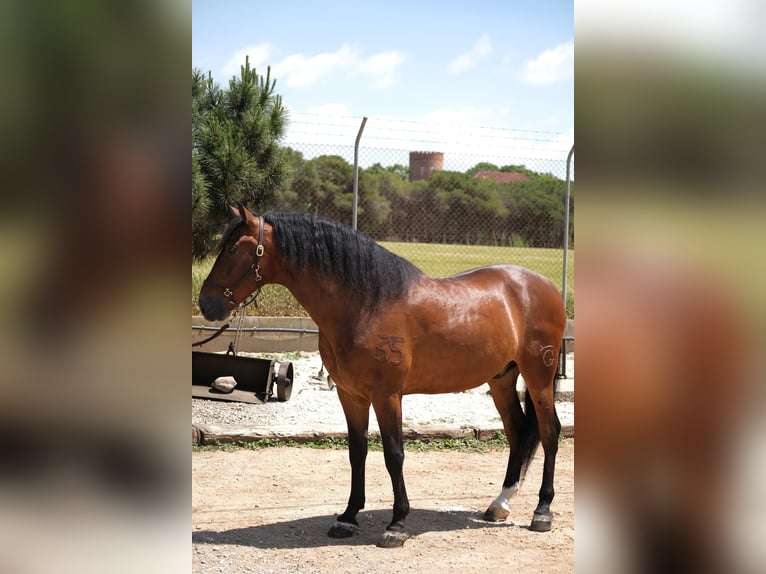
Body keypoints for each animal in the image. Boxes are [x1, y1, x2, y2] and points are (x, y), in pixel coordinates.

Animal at [198, 206, 568, 548]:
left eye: (234, 248)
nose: (206, 303)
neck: (365, 304)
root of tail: (545, 285)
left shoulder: (387, 395)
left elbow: (394, 454)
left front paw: (397, 524)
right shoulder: (350, 395)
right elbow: (357, 452)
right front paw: (347, 518)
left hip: (539, 377)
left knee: (549, 432)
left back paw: (542, 512)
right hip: (501, 378)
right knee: (518, 432)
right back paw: (499, 504)